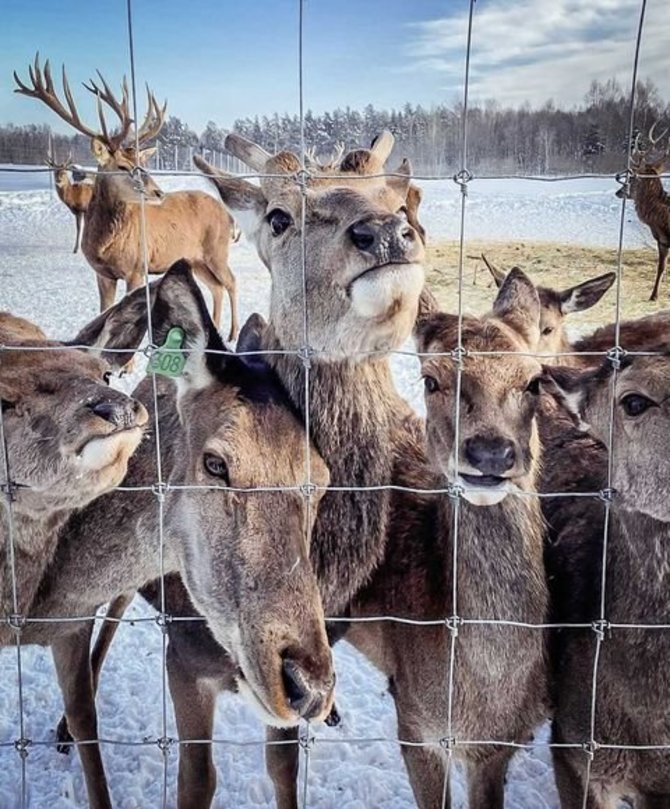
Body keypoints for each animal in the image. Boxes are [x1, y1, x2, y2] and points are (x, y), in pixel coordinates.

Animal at [13, 52, 242, 338]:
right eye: (122, 167)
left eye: (141, 164)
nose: (158, 191)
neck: (104, 244)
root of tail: (230, 217)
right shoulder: (102, 274)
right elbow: (103, 312)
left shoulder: (136, 268)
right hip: (196, 258)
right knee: (217, 287)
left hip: (216, 249)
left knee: (231, 281)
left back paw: (233, 333)